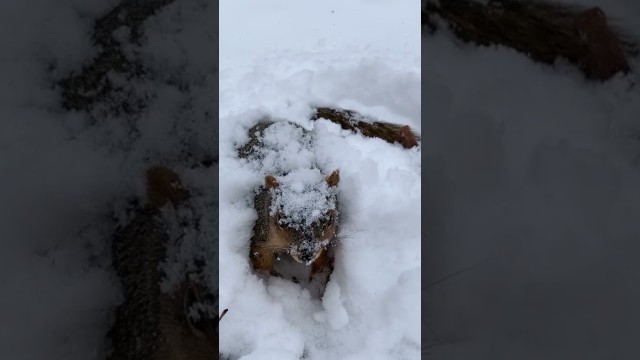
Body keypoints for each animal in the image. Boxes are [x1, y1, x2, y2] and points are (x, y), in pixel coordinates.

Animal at [238, 106, 418, 292]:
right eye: (280, 221)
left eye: (329, 219)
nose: (307, 254)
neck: (298, 173)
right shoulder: (262, 238)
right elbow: (261, 260)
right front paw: (266, 279)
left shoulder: (326, 239)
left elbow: (321, 256)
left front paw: (319, 276)